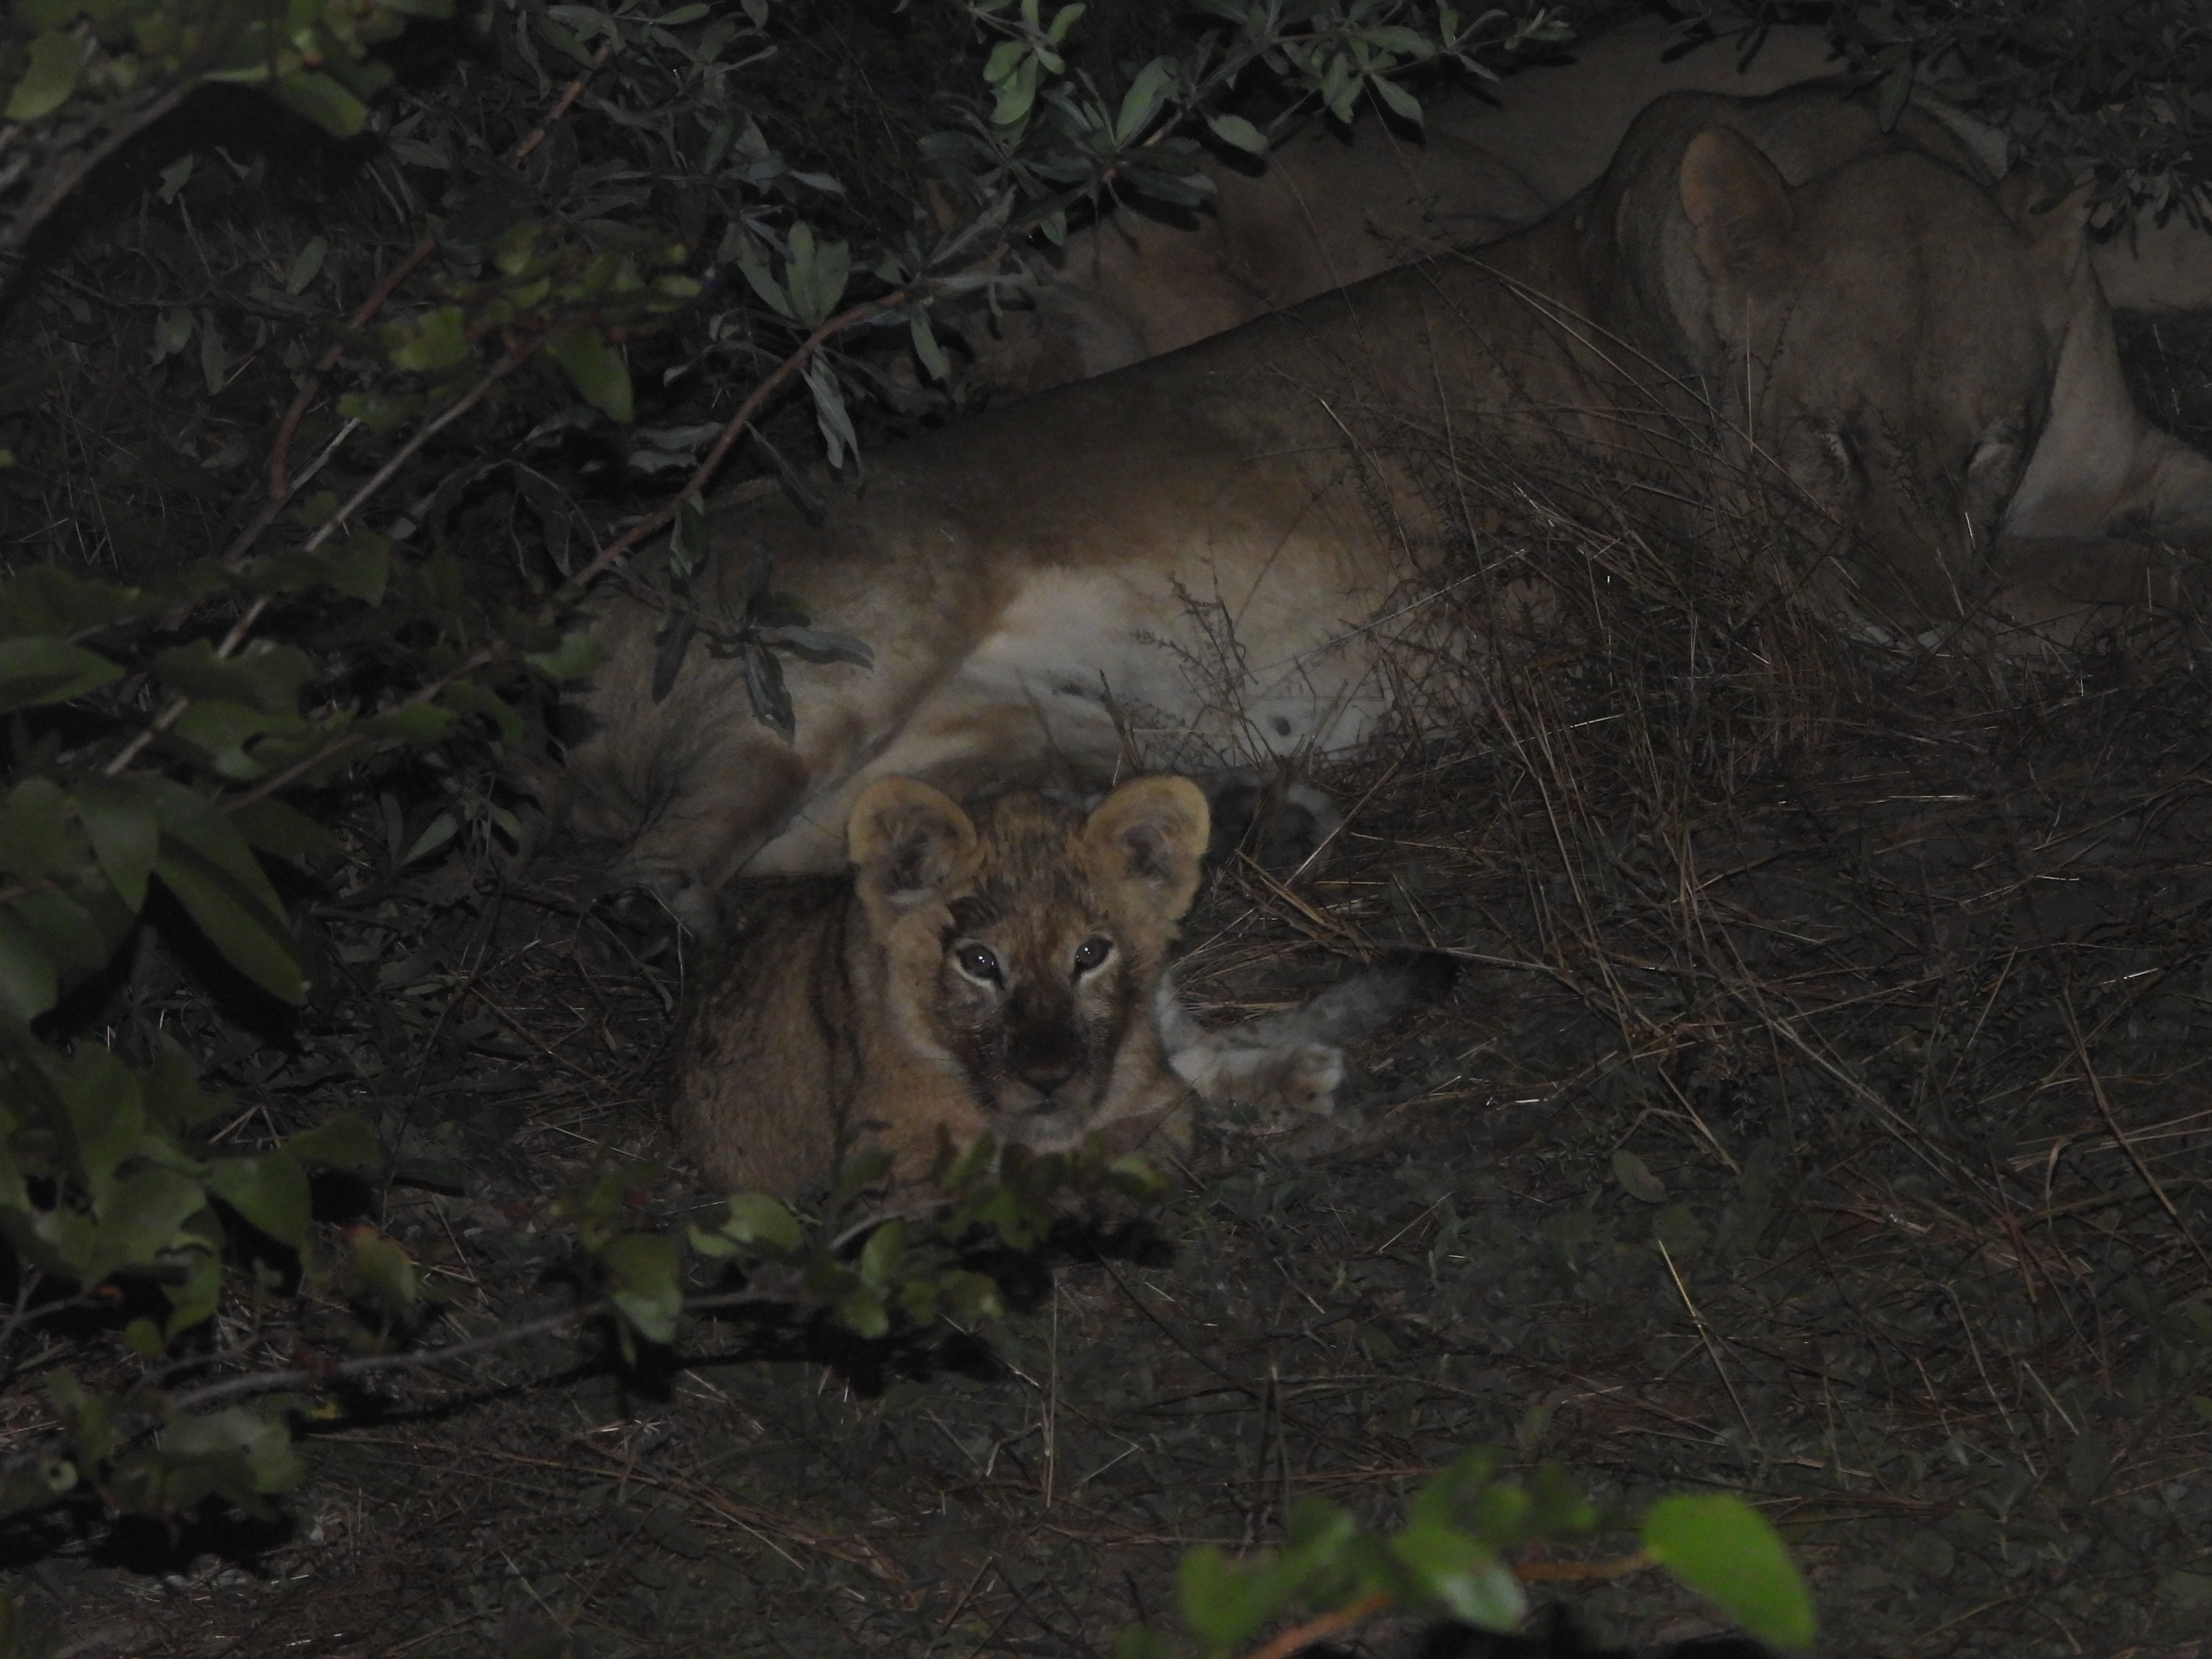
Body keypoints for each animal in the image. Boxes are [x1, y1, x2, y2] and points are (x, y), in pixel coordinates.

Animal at [561, 83, 2212, 936]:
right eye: (1830, 444)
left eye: (1991, 443)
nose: (1910, 618)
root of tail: (595, 599)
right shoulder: (1786, 599)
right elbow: (2115, 589)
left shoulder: (2108, 468)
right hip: (861, 628)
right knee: (657, 859)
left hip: (995, 735)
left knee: (846, 848)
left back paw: (1240, 812)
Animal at [674, 774, 1449, 1196]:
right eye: (979, 963)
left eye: (1090, 954)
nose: (1048, 1078)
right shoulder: (890, 1161)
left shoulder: (1146, 1090)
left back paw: (1305, 1075)